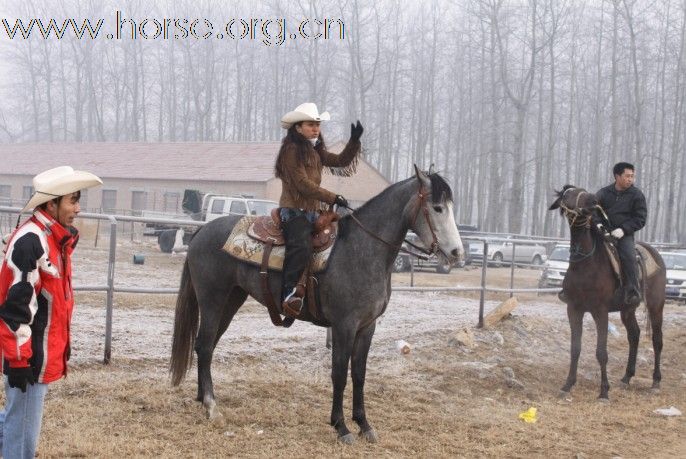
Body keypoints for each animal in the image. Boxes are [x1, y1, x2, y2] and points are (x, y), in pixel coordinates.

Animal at [169, 167, 464, 444]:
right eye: (437, 208)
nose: (457, 253)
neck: (361, 250)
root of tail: (202, 231)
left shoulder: (367, 327)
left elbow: (359, 374)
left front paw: (364, 425)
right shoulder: (344, 326)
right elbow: (339, 374)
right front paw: (341, 427)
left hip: (231, 301)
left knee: (205, 346)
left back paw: (202, 399)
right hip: (212, 299)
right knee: (205, 345)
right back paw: (211, 406)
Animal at [548, 185, 668, 400]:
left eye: (584, 192)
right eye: (568, 195)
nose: (593, 201)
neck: (585, 264)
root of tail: (655, 254)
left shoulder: (600, 311)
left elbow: (601, 352)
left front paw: (604, 391)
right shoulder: (574, 309)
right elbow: (575, 349)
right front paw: (568, 385)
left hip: (656, 306)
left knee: (657, 339)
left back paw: (655, 381)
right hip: (627, 309)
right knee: (634, 335)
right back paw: (627, 377)